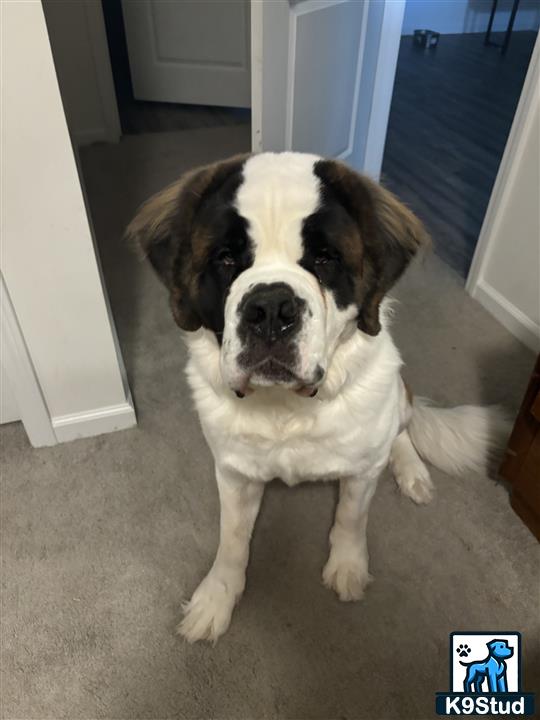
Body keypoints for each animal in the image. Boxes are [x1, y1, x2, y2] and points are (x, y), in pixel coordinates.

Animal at [126, 153, 506, 648]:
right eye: (226, 258)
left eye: (325, 259)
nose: (270, 308)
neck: (286, 409)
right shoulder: (233, 471)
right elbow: (232, 538)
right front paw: (217, 597)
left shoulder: (362, 472)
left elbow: (350, 517)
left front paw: (347, 567)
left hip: (396, 396)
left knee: (400, 431)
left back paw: (412, 471)